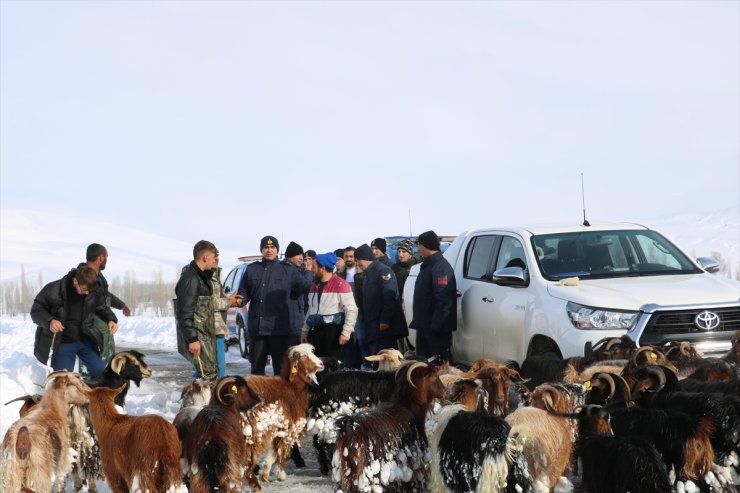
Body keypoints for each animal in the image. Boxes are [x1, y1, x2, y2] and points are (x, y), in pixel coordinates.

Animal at [334, 360, 446, 490]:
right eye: (433, 376)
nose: (444, 391)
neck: (409, 406)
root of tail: (350, 429)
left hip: (348, 471)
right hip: (370, 472)